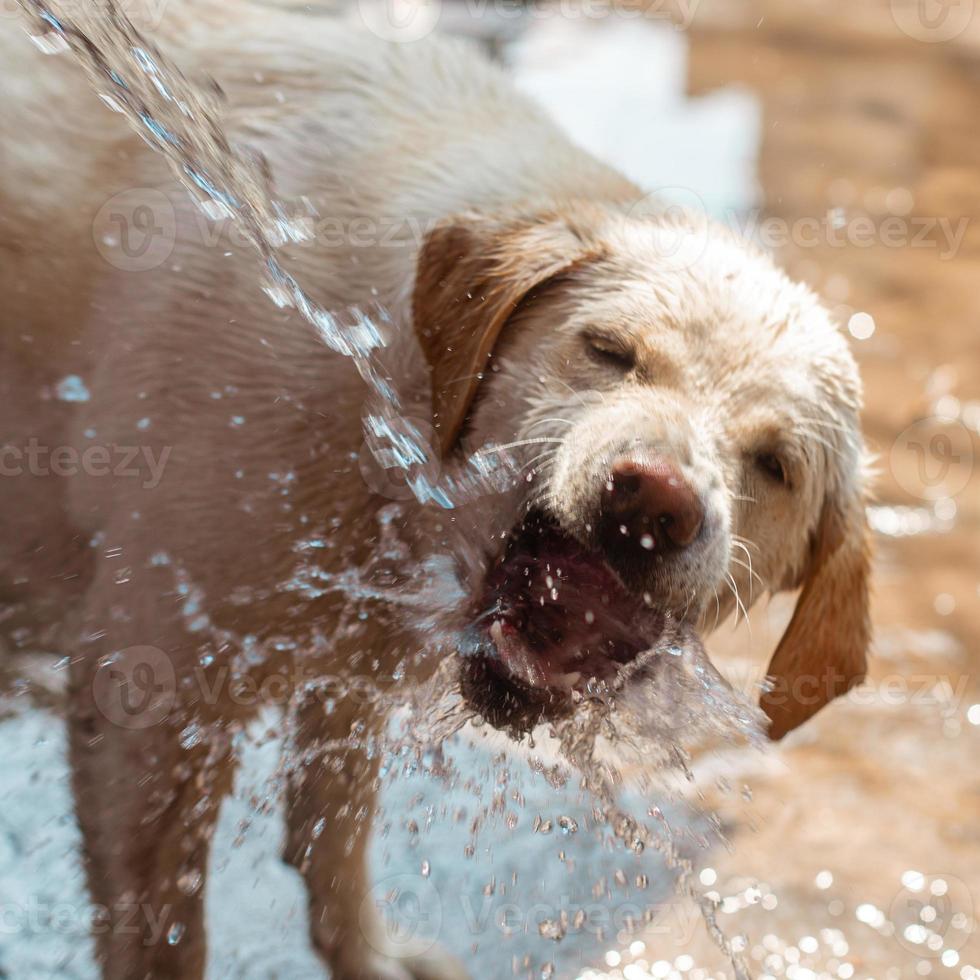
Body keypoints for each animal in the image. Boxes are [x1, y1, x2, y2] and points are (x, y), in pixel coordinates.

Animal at [0, 3, 872, 976]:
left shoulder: (352, 659)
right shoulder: (152, 691)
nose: (655, 499)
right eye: (608, 350)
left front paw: (366, 953)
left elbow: (332, 829)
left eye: (776, 464)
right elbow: (168, 931)